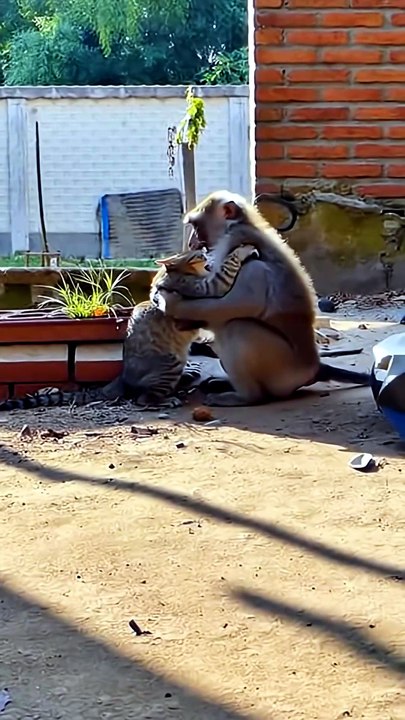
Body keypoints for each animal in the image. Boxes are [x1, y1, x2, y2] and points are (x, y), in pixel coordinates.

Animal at [155, 190, 371, 407]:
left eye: (196, 226)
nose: (191, 242)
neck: (238, 226)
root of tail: (313, 367)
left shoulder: (239, 246)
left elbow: (224, 303)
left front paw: (170, 303)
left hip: (281, 371)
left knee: (237, 326)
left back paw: (246, 397)